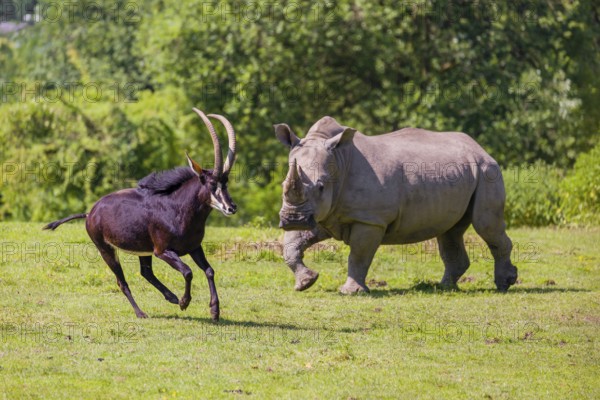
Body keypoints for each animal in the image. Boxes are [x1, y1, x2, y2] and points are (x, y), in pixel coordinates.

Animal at [44, 108, 237, 320]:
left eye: (225, 183)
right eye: (211, 184)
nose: (231, 208)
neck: (178, 210)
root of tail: (90, 213)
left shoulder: (194, 247)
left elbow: (209, 270)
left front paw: (214, 311)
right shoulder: (163, 251)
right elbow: (188, 272)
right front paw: (185, 303)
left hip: (143, 250)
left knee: (146, 272)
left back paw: (171, 297)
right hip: (106, 249)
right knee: (123, 282)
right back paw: (142, 312)